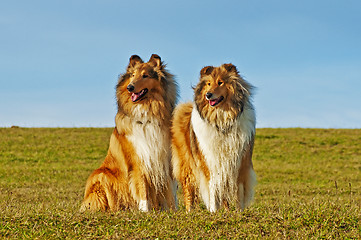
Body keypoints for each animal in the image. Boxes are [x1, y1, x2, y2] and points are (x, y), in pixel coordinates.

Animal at [81, 54, 178, 212]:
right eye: (132, 75)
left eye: (145, 75)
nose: (130, 87)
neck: (147, 113)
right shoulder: (138, 159)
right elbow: (142, 186)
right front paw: (145, 210)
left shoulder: (165, 159)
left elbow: (170, 190)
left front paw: (173, 210)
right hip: (101, 175)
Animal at [170, 63, 255, 212]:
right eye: (208, 84)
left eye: (220, 82)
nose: (208, 95)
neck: (221, 120)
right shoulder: (209, 162)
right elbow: (212, 190)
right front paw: (213, 211)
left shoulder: (239, 163)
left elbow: (238, 192)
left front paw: (239, 212)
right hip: (187, 164)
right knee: (189, 190)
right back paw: (189, 211)